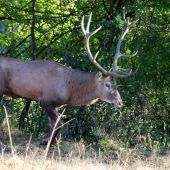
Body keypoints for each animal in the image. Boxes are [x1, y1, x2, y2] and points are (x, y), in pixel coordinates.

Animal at [0, 9, 138, 144]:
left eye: (116, 84)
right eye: (107, 84)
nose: (120, 102)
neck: (69, 89)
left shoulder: (55, 104)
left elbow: (52, 125)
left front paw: (49, 141)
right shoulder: (45, 100)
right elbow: (59, 124)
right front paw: (47, 142)